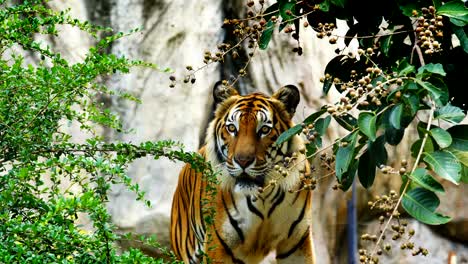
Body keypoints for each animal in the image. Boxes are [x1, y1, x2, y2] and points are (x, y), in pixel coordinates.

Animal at [170, 83, 316, 264]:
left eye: (264, 129)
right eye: (232, 128)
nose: (243, 161)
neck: (264, 196)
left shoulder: (296, 243)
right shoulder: (219, 245)